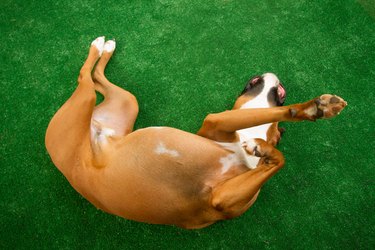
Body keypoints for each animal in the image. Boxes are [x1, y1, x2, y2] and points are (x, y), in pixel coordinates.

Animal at [45, 37, 348, 229]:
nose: (269, 73)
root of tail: (96, 129)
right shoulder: (217, 122)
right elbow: (282, 131)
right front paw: (313, 108)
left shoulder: (221, 200)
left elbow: (278, 159)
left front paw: (266, 147)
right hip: (85, 102)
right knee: (84, 79)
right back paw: (98, 46)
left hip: (127, 100)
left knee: (97, 79)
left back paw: (105, 47)